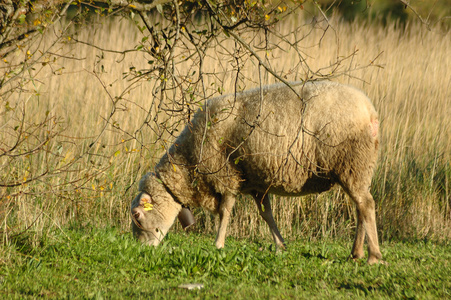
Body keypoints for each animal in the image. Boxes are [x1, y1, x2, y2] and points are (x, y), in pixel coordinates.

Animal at [131, 80, 384, 264]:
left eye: (137, 216)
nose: (141, 251)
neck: (188, 164)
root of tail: (370, 111)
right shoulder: (256, 184)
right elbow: (266, 215)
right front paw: (280, 245)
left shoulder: (226, 176)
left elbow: (225, 212)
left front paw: (218, 244)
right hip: (357, 167)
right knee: (360, 207)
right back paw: (356, 253)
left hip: (353, 162)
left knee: (366, 205)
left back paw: (373, 257)